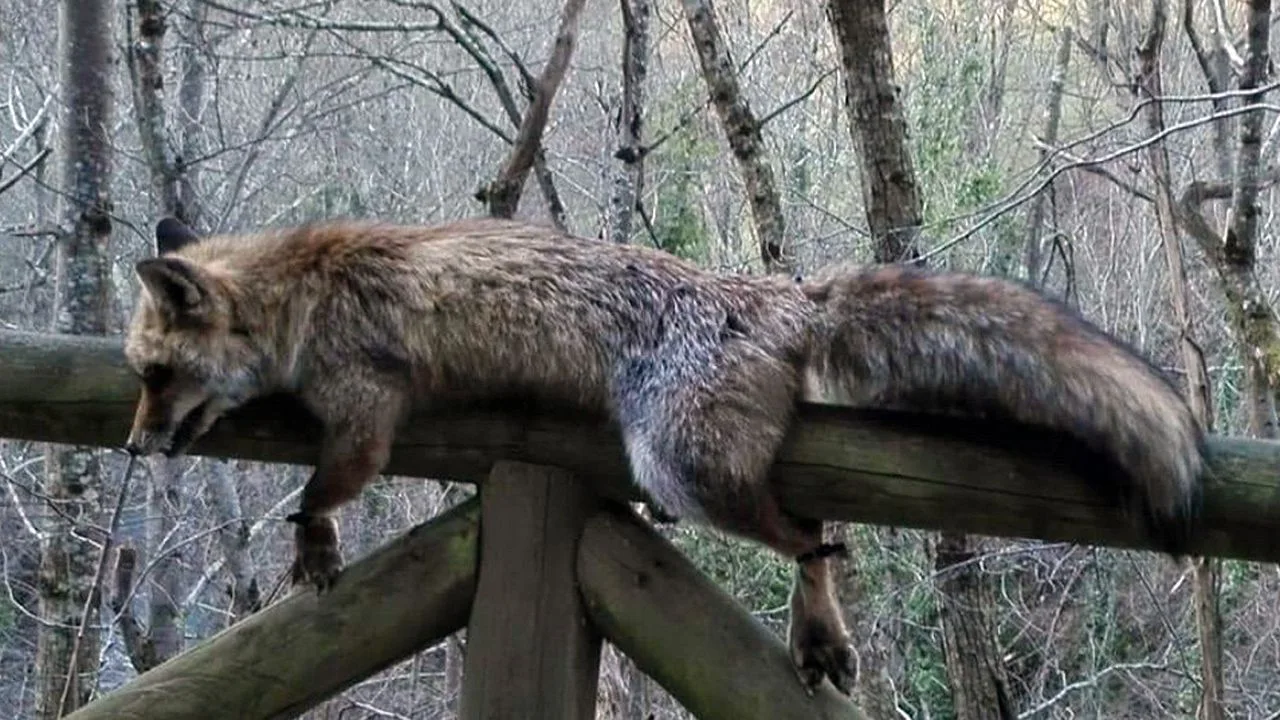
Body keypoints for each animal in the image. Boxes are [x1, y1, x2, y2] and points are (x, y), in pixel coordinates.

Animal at [120, 213, 1198, 696]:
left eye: (155, 376)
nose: (135, 447)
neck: (303, 291)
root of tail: (781, 294)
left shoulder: (367, 409)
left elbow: (323, 486)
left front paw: (312, 541)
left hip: (679, 461)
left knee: (812, 534)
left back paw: (813, 613)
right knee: (819, 529)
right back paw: (816, 635)